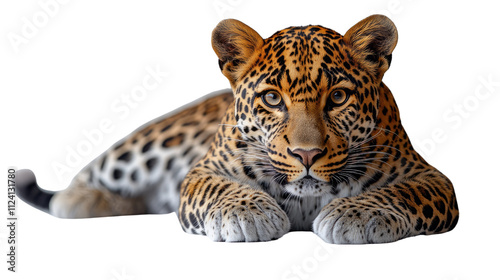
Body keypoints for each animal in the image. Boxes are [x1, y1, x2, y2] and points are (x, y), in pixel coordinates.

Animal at [15, 14, 458, 243]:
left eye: (337, 97)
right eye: (273, 99)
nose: (307, 155)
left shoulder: (433, 179)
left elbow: (402, 192)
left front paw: (353, 215)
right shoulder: (203, 171)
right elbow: (222, 188)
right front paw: (252, 215)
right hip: (148, 144)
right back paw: (80, 201)